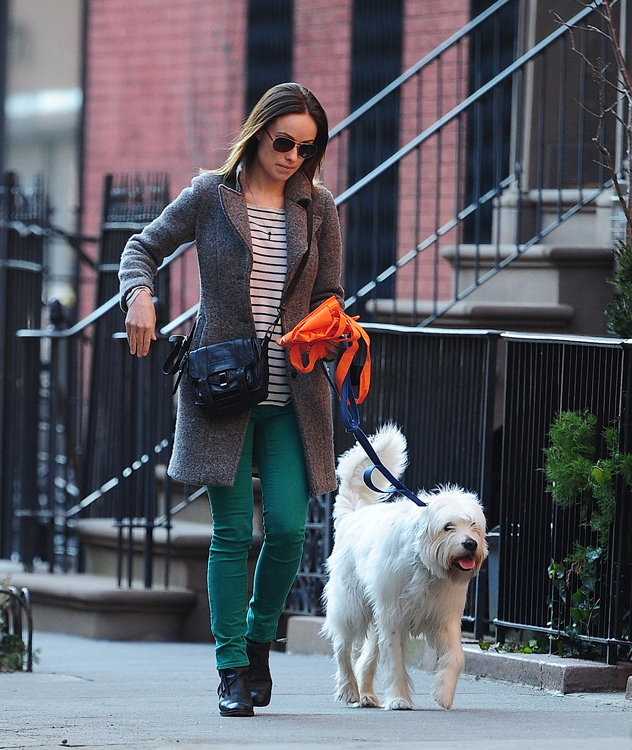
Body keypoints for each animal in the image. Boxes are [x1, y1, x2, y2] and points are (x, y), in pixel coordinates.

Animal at [324, 426, 486, 712]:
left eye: (474, 525)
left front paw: (443, 693)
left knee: (365, 657)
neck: (425, 566)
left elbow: (456, 657)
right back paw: (349, 689)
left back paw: (366, 695)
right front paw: (399, 699)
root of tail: (352, 515)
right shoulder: (393, 617)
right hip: (351, 606)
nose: (470, 544)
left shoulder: (445, 618)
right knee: (342, 647)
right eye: (448, 527)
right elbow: (396, 662)